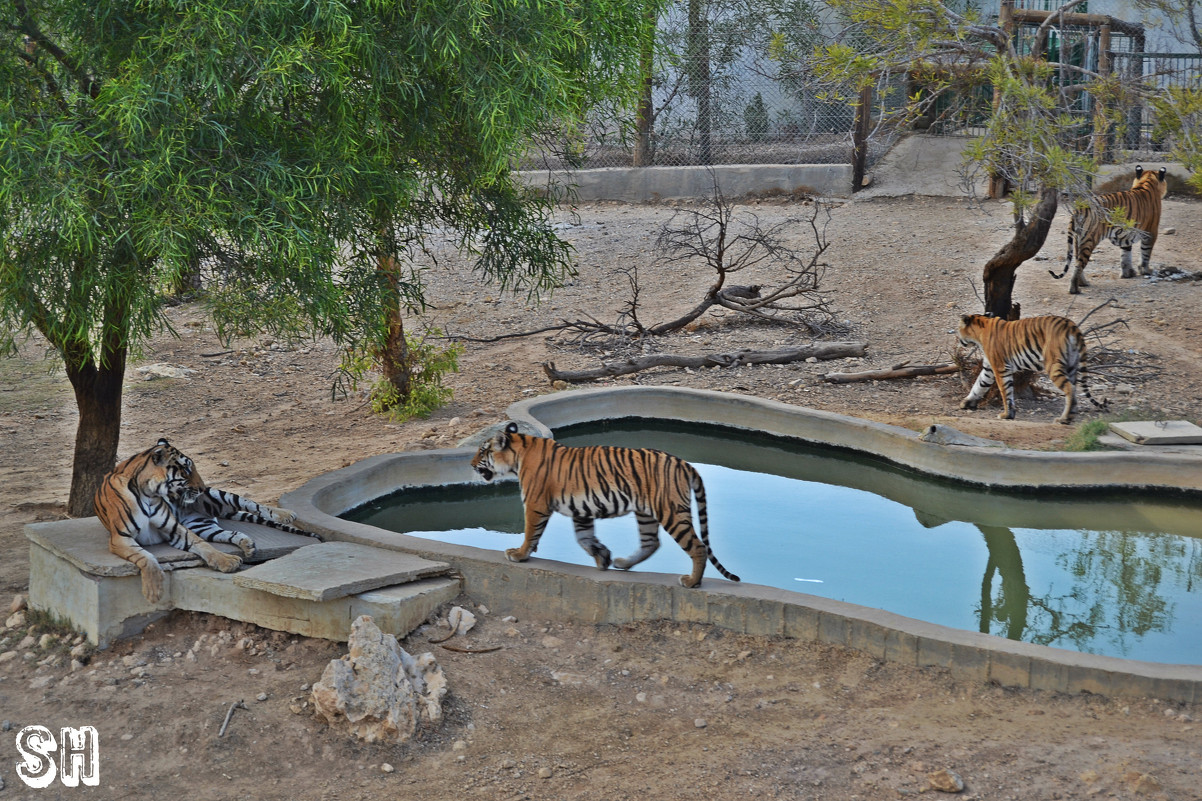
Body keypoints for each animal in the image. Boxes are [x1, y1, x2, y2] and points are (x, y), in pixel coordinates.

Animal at [471, 423, 740, 586]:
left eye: (482, 451)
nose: (471, 464)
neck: (519, 454)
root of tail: (685, 463)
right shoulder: (580, 510)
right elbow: (584, 538)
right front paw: (603, 558)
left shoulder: (536, 504)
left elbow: (530, 534)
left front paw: (518, 554)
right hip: (646, 512)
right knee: (651, 543)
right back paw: (623, 563)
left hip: (671, 511)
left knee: (698, 547)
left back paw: (692, 582)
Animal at [951, 312, 1101, 423]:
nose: (960, 341)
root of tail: (1071, 325)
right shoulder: (989, 369)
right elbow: (979, 384)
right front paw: (966, 402)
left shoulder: (1000, 368)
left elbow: (1005, 392)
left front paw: (1006, 415)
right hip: (1071, 366)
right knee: (1074, 387)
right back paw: (1071, 416)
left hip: (1053, 364)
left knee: (1069, 388)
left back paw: (1063, 418)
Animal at [1052, 163, 1173, 292]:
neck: (1147, 181)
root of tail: (1080, 208)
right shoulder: (1151, 231)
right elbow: (1146, 253)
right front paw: (1145, 270)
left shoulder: (1126, 234)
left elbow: (1125, 255)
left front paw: (1127, 273)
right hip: (1089, 239)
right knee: (1079, 265)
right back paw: (1075, 289)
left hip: (1077, 239)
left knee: (1076, 262)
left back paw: (1083, 283)